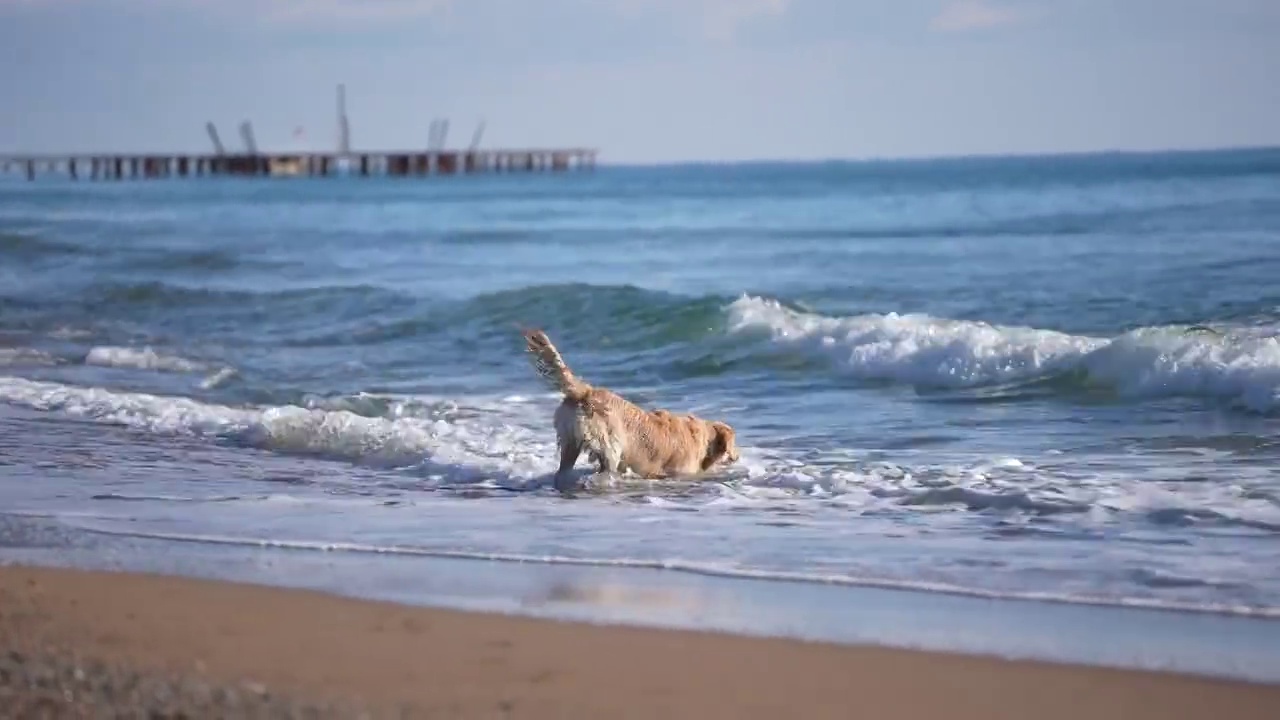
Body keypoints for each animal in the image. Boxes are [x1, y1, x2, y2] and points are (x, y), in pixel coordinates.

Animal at [519, 326, 742, 486]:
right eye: (734, 442)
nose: (738, 455)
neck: (704, 438)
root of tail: (586, 391)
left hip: (569, 441)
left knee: (563, 471)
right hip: (609, 445)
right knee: (607, 467)